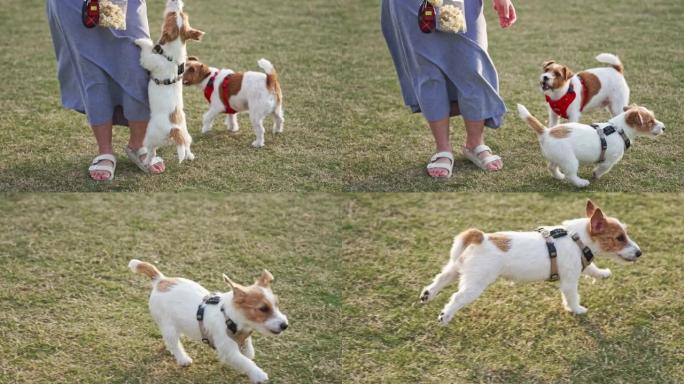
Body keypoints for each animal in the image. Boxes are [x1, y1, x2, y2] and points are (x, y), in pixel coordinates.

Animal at [135, 0, 204, 165]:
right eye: (181, 13)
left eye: (172, 14)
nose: (176, 1)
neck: (173, 57)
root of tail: (175, 130)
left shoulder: (150, 60)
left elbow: (147, 50)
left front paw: (142, 41)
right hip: (186, 133)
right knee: (186, 145)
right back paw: (189, 155)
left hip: (150, 135)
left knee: (151, 151)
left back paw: (146, 162)